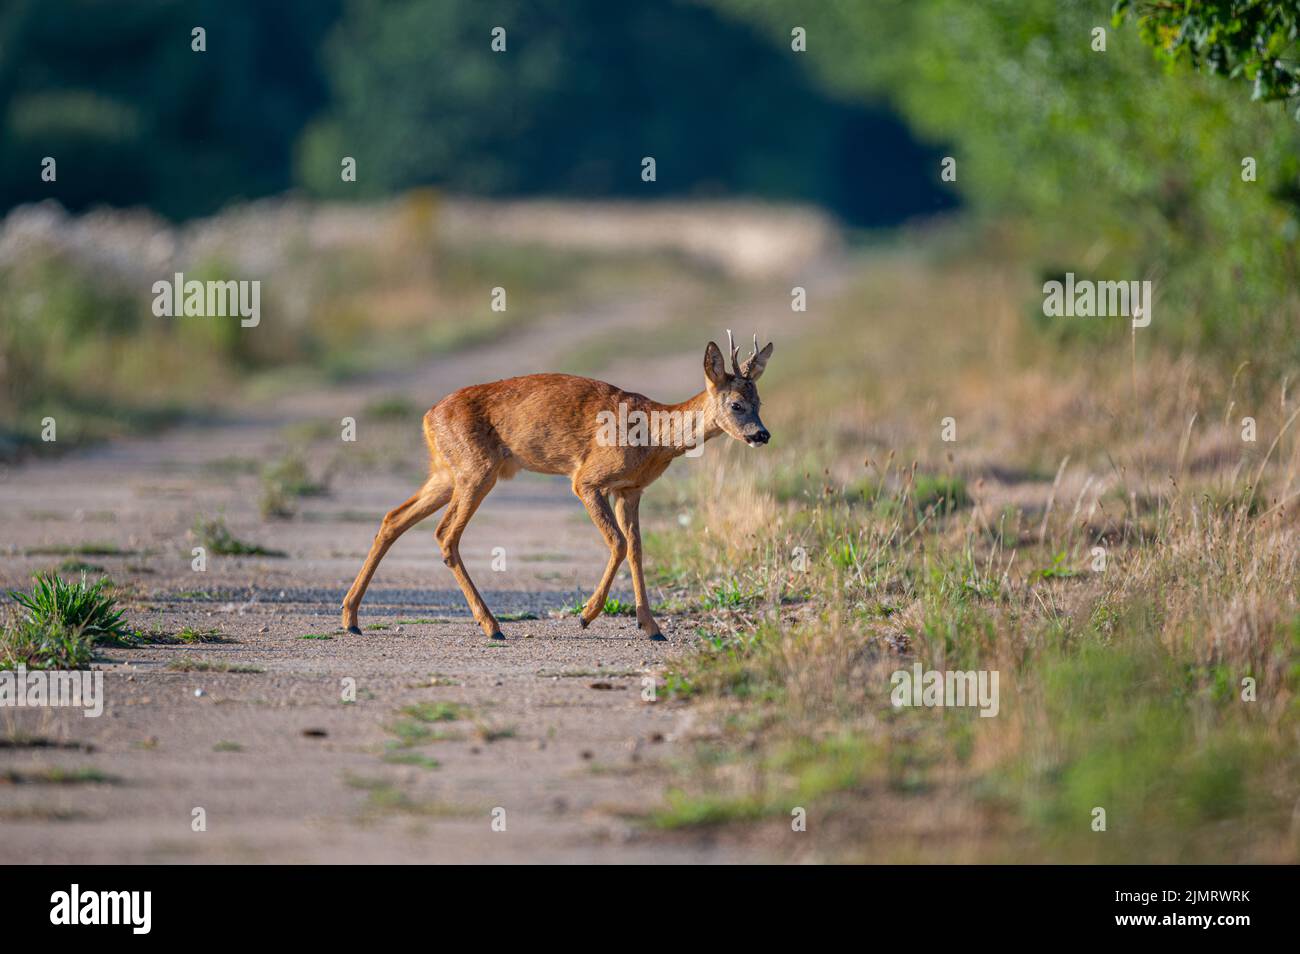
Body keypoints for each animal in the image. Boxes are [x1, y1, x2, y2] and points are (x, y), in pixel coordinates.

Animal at [341, 332, 774, 641]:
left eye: (759, 402)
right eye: (736, 404)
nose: (762, 435)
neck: (653, 435)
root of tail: (428, 417)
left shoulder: (630, 490)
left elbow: (636, 549)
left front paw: (651, 627)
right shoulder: (587, 479)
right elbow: (618, 543)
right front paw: (586, 616)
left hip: (447, 472)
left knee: (393, 518)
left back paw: (351, 617)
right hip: (477, 469)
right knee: (445, 534)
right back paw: (492, 626)